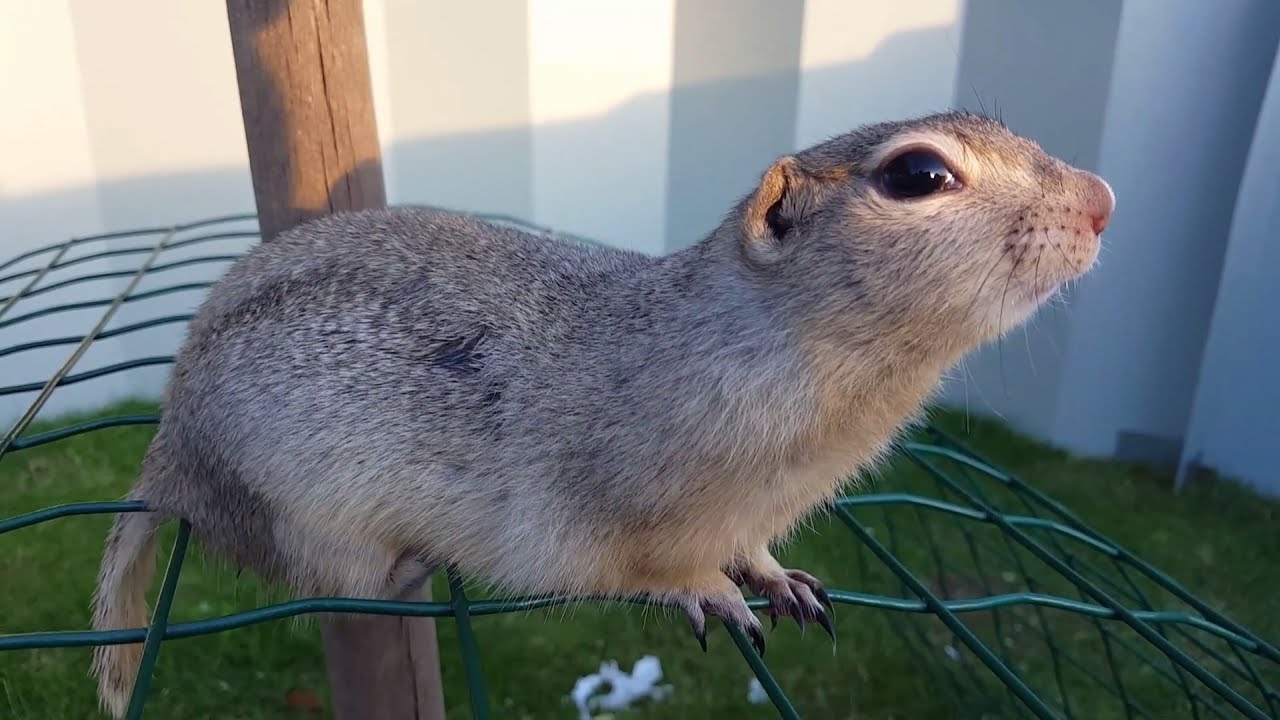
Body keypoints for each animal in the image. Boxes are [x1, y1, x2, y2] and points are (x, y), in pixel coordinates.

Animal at [89, 110, 1114, 717]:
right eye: (918, 176)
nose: (1103, 201)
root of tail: (167, 459)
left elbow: (755, 549)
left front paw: (775, 575)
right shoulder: (622, 503)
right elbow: (645, 565)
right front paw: (708, 589)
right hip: (307, 520)